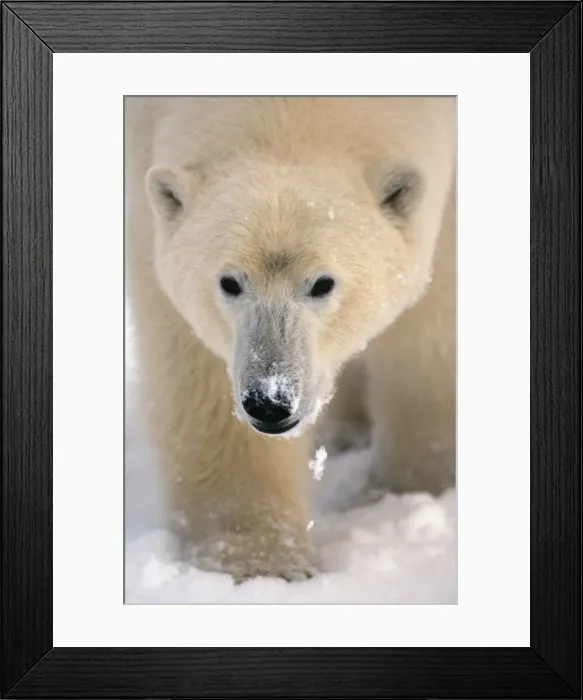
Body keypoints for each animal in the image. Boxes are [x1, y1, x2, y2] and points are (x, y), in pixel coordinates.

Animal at [124, 97, 456, 582]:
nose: (269, 402)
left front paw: (414, 487)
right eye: (229, 282)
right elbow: (190, 353)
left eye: (322, 283)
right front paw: (260, 561)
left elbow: (432, 316)